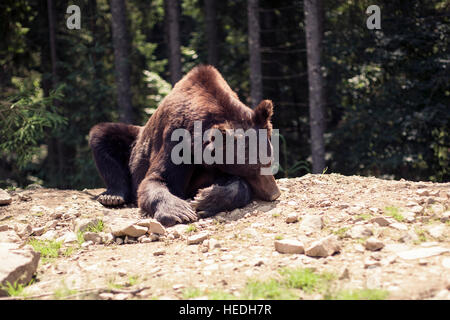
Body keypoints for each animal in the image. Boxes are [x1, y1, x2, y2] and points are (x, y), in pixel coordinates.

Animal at [89, 65, 280, 226]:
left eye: (269, 160)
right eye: (253, 167)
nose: (274, 193)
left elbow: (235, 184)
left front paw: (204, 198)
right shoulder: (175, 140)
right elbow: (157, 179)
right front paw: (180, 211)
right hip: (134, 141)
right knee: (102, 134)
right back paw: (112, 196)